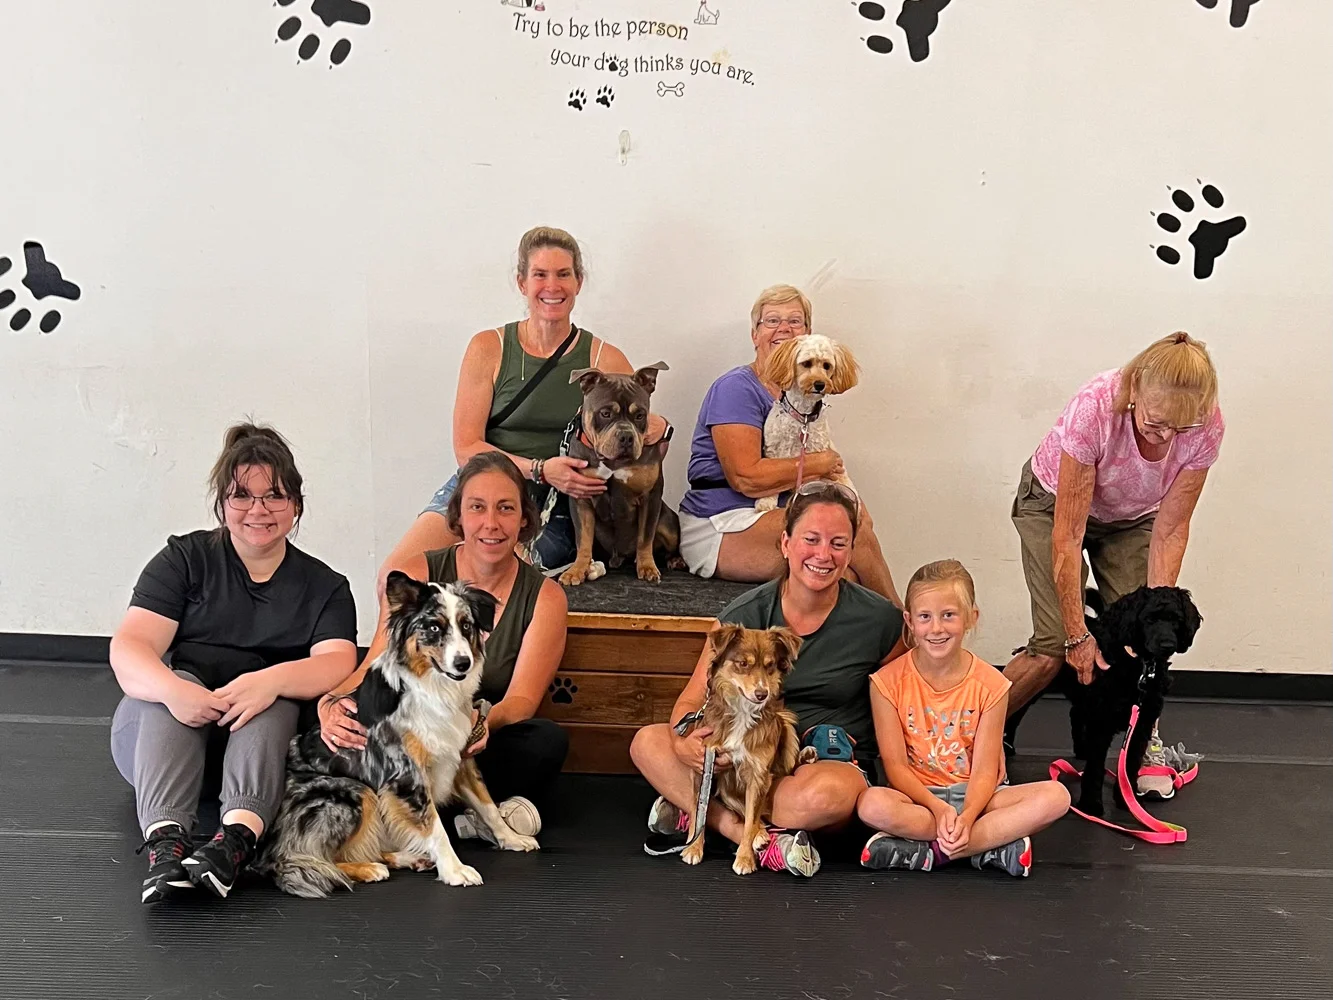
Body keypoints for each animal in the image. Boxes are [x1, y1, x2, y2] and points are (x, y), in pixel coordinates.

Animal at [253, 572, 538, 898]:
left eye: (466, 625)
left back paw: (408, 858)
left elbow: (488, 805)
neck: (434, 689)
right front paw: (455, 870)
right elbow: (436, 827)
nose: (463, 663)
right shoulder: (407, 774)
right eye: (433, 627)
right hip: (354, 792)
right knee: (305, 859)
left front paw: (512, 837)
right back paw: (369, 868)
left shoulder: (461, 757)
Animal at [558, 363, 685, 586]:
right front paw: (576, 570)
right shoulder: (581, 499)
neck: (612, 461)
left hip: (668, 523)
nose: (626, 436)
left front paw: (647, 567)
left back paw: (675, 560)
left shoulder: (650, 498)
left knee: (670, 545)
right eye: (605, 413)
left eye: (640, 415)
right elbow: (583, 539)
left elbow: (645, 538)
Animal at [680, 624, 803, 875]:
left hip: (785, 723)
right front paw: (693, 848)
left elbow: (749, 823)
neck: (743, 711)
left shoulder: (758, 776)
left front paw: (745, 859)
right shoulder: (703, 766)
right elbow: (699, 811)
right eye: (743, 663)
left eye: (770, 666)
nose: (762, 694)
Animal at [755, 334, 860, 512]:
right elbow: (770, 485)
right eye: (806, 363)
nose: (820, 384)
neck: (802, 417)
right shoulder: (773, 451)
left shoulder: (814, 461)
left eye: (827, 366)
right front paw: (766, 502)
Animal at [1007, 586, 1202, 817]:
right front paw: (1090, 804)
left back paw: (1081, 748)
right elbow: (1096, 767)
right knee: (1017, 710)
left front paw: (1127, 799)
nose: (1167, 644)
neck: (1139, 666)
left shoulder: (1141, 724)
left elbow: (1130, 764)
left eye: (1176, 620)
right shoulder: (1101, 722)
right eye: (1150, 619)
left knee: (1076, 713)